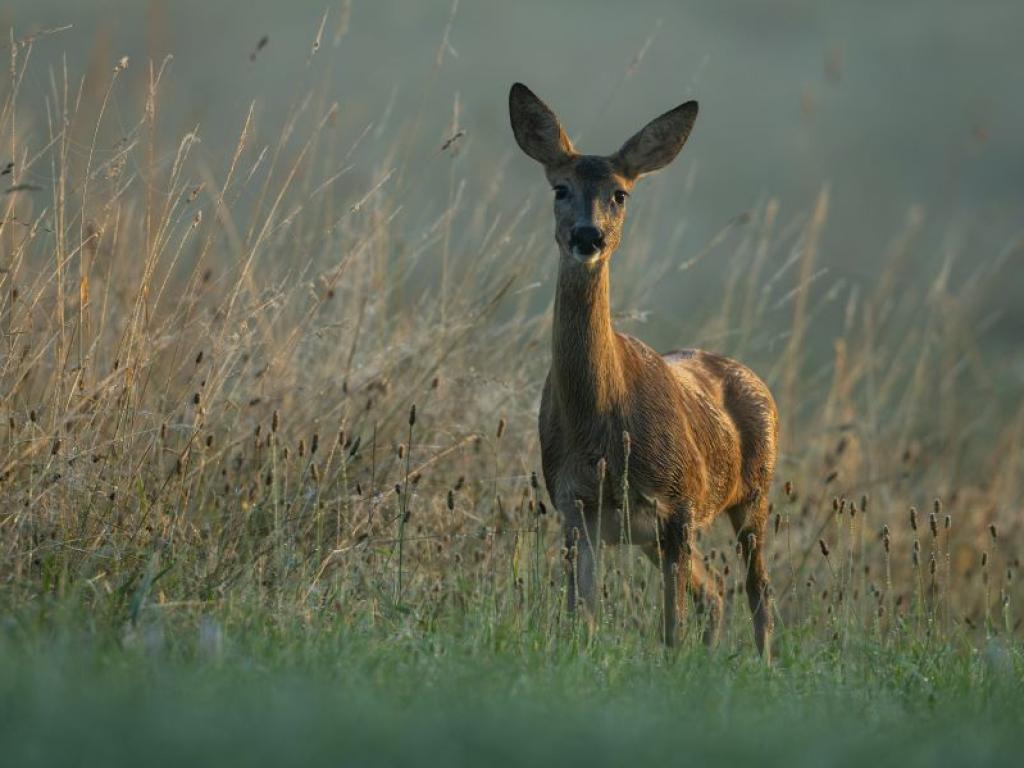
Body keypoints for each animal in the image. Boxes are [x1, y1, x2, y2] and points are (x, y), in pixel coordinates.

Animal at [507, 83, 778, 663]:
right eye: (560, 188)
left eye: (621, 194)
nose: (588, 236)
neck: (602, 431)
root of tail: (751, 375)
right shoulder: (575, 507)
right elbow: (581, 617)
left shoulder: (678, 501)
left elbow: (670, 626)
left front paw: (674, 668)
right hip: (654, 534)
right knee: (714, 592)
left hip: (753, 493)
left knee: (756, 590)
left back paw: (764, 664)